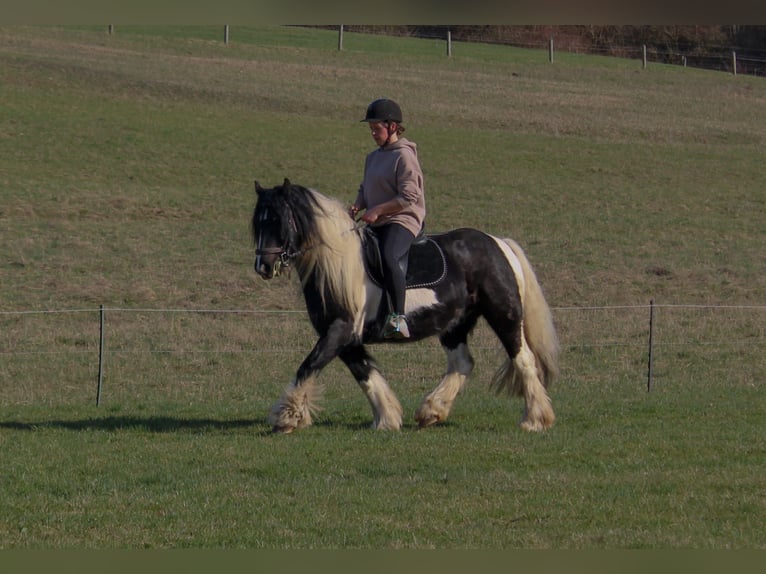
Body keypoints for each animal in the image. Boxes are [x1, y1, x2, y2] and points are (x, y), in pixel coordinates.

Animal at [251, 178, 559, 434]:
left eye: (279, 220)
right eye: (258, 223)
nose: (263, 266)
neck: (337, 265)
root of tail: (498, 243)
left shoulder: (339, 331)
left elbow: (308, 366)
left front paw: (286, 417)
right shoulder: (345, 338)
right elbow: (365, 374)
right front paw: (386, 418)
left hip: (504, 316)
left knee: (523, 359)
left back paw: (535, 419)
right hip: (455, 322)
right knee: (462, 363)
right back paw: (431, 411)